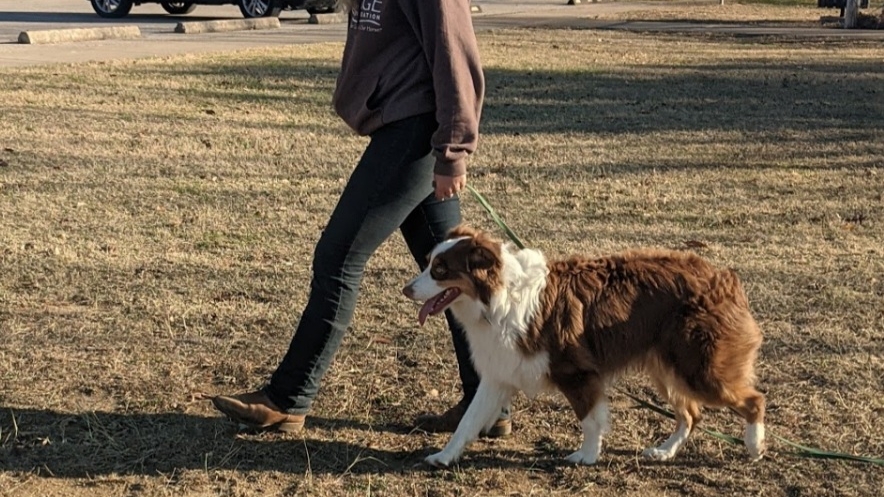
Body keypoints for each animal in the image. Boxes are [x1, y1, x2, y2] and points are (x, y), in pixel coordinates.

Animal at [402, 227, 768, 466]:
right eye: (429, 262)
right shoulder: (499, 374)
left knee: (753, 400)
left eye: (440, 270)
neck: (498, 300)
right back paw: (665, 451)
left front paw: (587, 456)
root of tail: (725, 277)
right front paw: (444, 456)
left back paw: (754, 446)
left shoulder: (576, 372)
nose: (406, 290)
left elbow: (590, 418)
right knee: (691, 414)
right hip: (667, 369)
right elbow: (468, 422)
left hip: (699, 369)